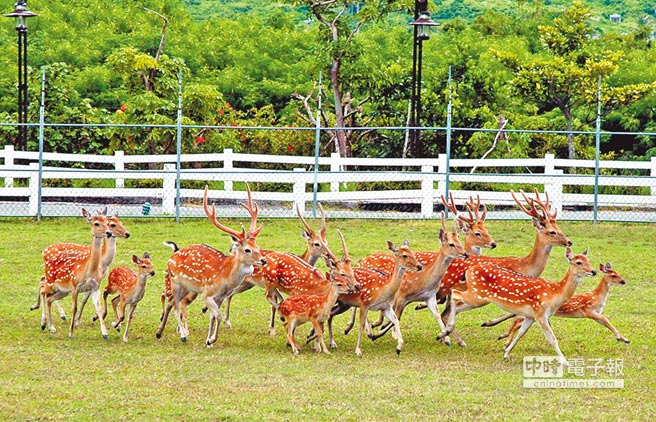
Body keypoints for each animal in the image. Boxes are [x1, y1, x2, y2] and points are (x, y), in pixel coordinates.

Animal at [38, 208, 113, 340]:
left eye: (107, 223)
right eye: (96, 223)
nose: (108, 233)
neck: (89, 271)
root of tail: (45, 254)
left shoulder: (95, 287)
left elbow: (98, 308)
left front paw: (105, 334)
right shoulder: (74, 286)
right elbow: (74, 308)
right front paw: (71, 333)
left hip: (62, 291)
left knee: (49, 299)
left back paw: (51, 327)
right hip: (51, 282)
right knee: (42, 290)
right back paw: (43, 324)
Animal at [165, 185, 266, 346]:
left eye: (258, 246)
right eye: (247, 250)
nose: (263, 260)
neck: (225, 279)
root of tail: (171, 257)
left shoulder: (221, 297)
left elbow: (212, 317)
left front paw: (208, 341)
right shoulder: (207, 293)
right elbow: (218, 315)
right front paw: (212, 339)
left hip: (187, 287)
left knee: (175, 304)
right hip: (175, 282)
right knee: (175, 305)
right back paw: (183, 335)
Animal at [464, 249, 596, 364]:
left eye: (588, 260)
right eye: (578, 262)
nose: (594, 271)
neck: (553, 293)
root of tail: (470, 269)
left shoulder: (531, 316)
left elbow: (521, 332)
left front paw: (506, 354)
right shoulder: (540, 313)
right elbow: (552, 339)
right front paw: (565, 362)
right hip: (476, 296)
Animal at [482, 262, 632, 348]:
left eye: (618, 273)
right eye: (613, 275)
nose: (623, 281)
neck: (598, 297)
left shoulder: (595, 313)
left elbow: (605, 321)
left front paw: (624, 339)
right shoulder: (588, 311)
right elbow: (606, 319)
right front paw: (622, 338)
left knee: (516, 319)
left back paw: (500, 334)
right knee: (517, 320)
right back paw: (504, 341)